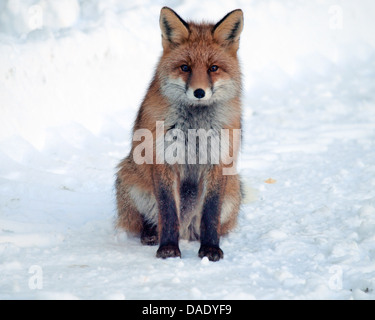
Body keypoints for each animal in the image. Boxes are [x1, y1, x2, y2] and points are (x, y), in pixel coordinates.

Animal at [116, 7, 244, 262]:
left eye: (213, 68)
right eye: (185, 67)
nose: (199, 92)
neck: (195, 127)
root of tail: (187, 230)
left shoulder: (218, 160)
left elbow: (210, 213)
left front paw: (210, 249)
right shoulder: (163, 158)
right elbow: (168, 212)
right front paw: (167, 248)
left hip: (233, 189)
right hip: (128, 176)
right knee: (147, 220)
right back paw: (151, 234)